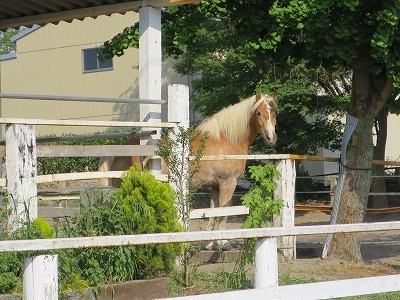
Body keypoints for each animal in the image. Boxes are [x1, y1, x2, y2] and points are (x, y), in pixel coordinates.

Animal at [98, 92, 276, 251]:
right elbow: (224, 212)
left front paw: (210, 243)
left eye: (274, 112)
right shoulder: (228, 184)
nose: (271, 137)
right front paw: (223, 243)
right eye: (258, 112)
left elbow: (212, 213)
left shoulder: (215, 186)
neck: (225, 139)